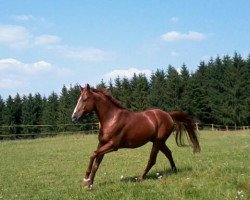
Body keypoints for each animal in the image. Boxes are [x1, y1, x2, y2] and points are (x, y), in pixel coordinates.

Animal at [71, 84, 200, 189]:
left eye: (84, 99)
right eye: (78, 99)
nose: (74, 117)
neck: (111, 119)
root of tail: (168, 114)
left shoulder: (113, 146)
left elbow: (92, 154)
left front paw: (86, 179)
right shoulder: (102, 144)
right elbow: (96, 164)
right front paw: (89, 184)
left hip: (157, 142)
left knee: (152, 159)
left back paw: (140, 178)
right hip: (159, 142)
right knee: (168, 153)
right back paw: (174, 171)